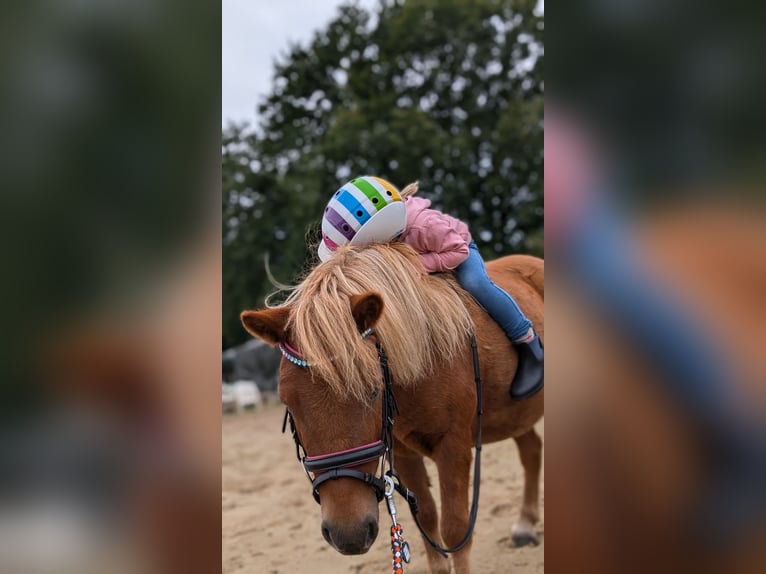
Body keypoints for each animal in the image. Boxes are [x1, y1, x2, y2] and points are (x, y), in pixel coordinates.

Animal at [242, 243, 544, 574]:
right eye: (288, 403)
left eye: (374, 389)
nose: (348, 534)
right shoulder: (403, 451)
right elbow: (427, 519)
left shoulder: (453, 446)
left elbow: (455, 528)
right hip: (515, 415)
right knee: (532, 451)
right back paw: (526, 524)